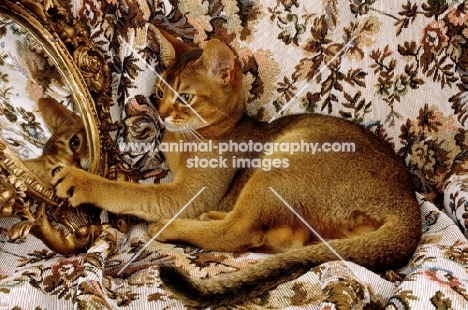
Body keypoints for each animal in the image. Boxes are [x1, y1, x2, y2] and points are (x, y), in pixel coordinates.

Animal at [51, 27, 420, 308]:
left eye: (185, 98)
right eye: (158, 94)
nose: (162, 114)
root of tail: (409, 205)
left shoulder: (188, 194)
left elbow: (128, 190)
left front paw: (80, 180)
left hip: (285, 159)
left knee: (238, 232)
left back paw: (170, 227)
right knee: (280, 240)